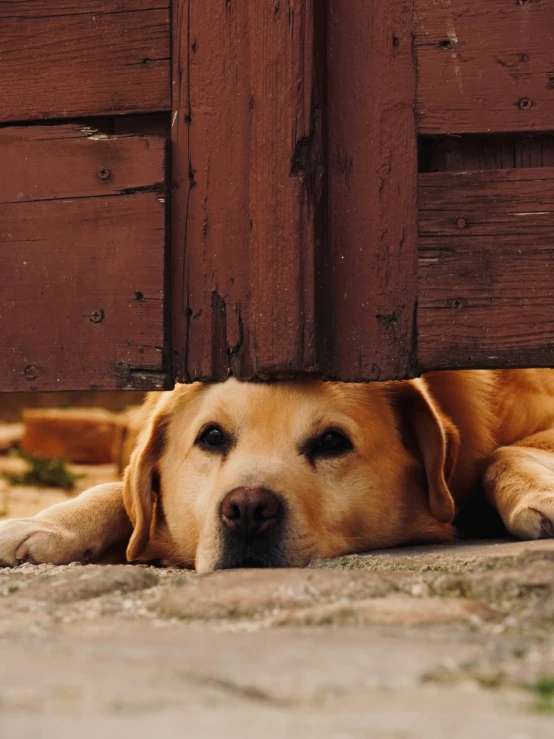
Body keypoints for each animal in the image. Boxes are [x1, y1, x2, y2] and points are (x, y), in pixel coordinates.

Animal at [1, 370, 552, 572]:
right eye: (212, 437)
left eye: (331, 441)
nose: (247, 510)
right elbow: (119, 493)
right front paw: (43, 526)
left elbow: (503, 456)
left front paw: (537, 498)